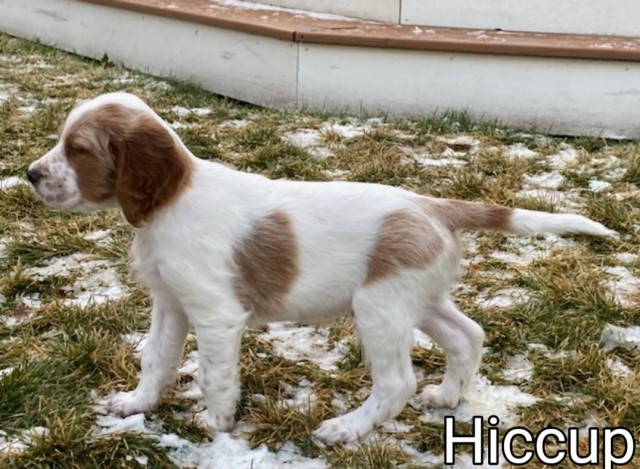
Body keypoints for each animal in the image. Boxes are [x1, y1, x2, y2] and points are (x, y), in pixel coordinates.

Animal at [27, 91, 616, 442]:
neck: (172, 202)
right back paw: (448, 396)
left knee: (397, 381)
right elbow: (157, 360)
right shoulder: (171, 303)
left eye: (78, 149)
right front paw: (137, 404)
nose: (31, 174)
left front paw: (215, 424)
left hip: (378, 305)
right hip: (417, 297)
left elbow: (215, 375)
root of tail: (432, 205)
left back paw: (347, 429)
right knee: (467, 334)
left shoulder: (216, 314)